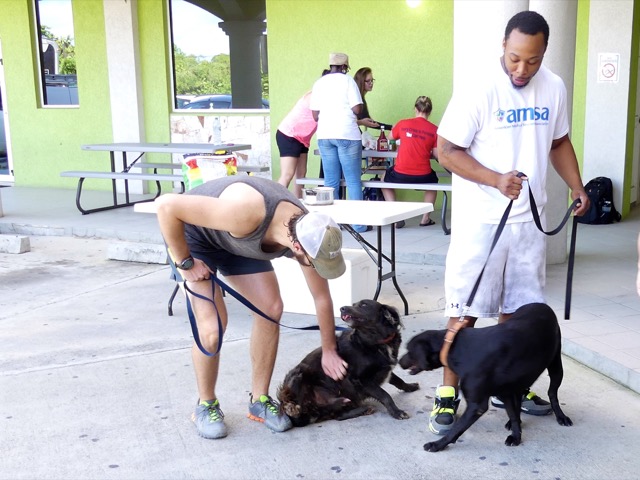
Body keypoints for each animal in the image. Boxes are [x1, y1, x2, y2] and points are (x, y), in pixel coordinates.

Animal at [276, 298, 420, 426]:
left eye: (363, 304)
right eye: (354, 304)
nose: (342, 308)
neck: (374, 341)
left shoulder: (385, 369)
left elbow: (398, 380)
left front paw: (410, 386)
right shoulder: (362, 380)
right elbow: (385, 395)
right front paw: (397, 412)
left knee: (338, 415)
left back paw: (362, 409)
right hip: (299, 372)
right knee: (288, 400)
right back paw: (292, 408)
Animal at [398, 302, 572, 452]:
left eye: (409, 350)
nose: (399, 362)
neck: (454, 347)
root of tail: (542, 304)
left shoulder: (477, 406)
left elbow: (456, 429)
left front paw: (438, 444)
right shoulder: (506, 392)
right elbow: (513, 414)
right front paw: (516, 436)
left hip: (556, 367)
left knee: (552, 394)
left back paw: (561, 416)